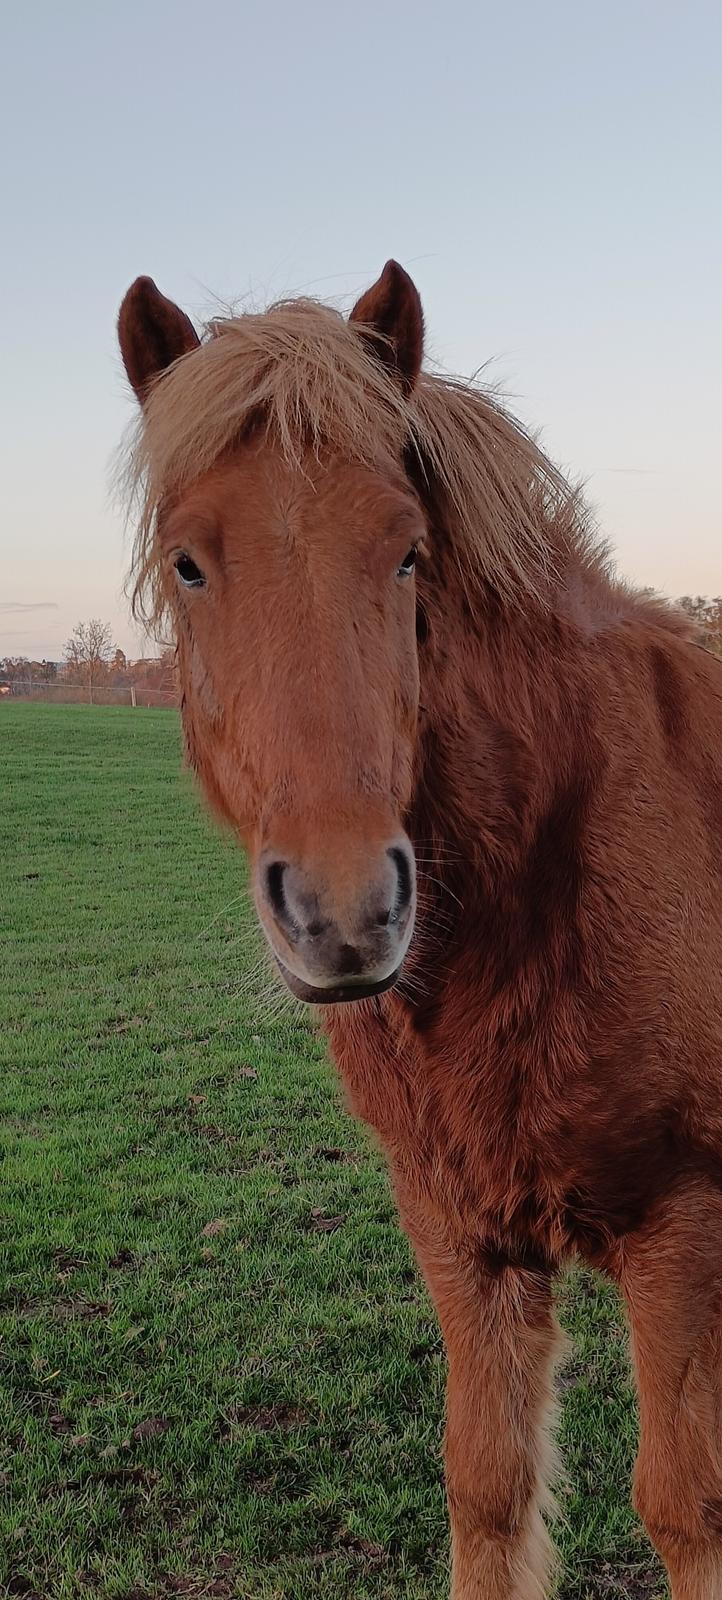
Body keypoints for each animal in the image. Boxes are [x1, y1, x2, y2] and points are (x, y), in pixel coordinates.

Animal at [116, 265, 722, 1600]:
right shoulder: (458, 1230)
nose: (344, 910)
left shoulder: (680, 1227)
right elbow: (486, 1493)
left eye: (407, 554)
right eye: (188, 563)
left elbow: (683, 1506)